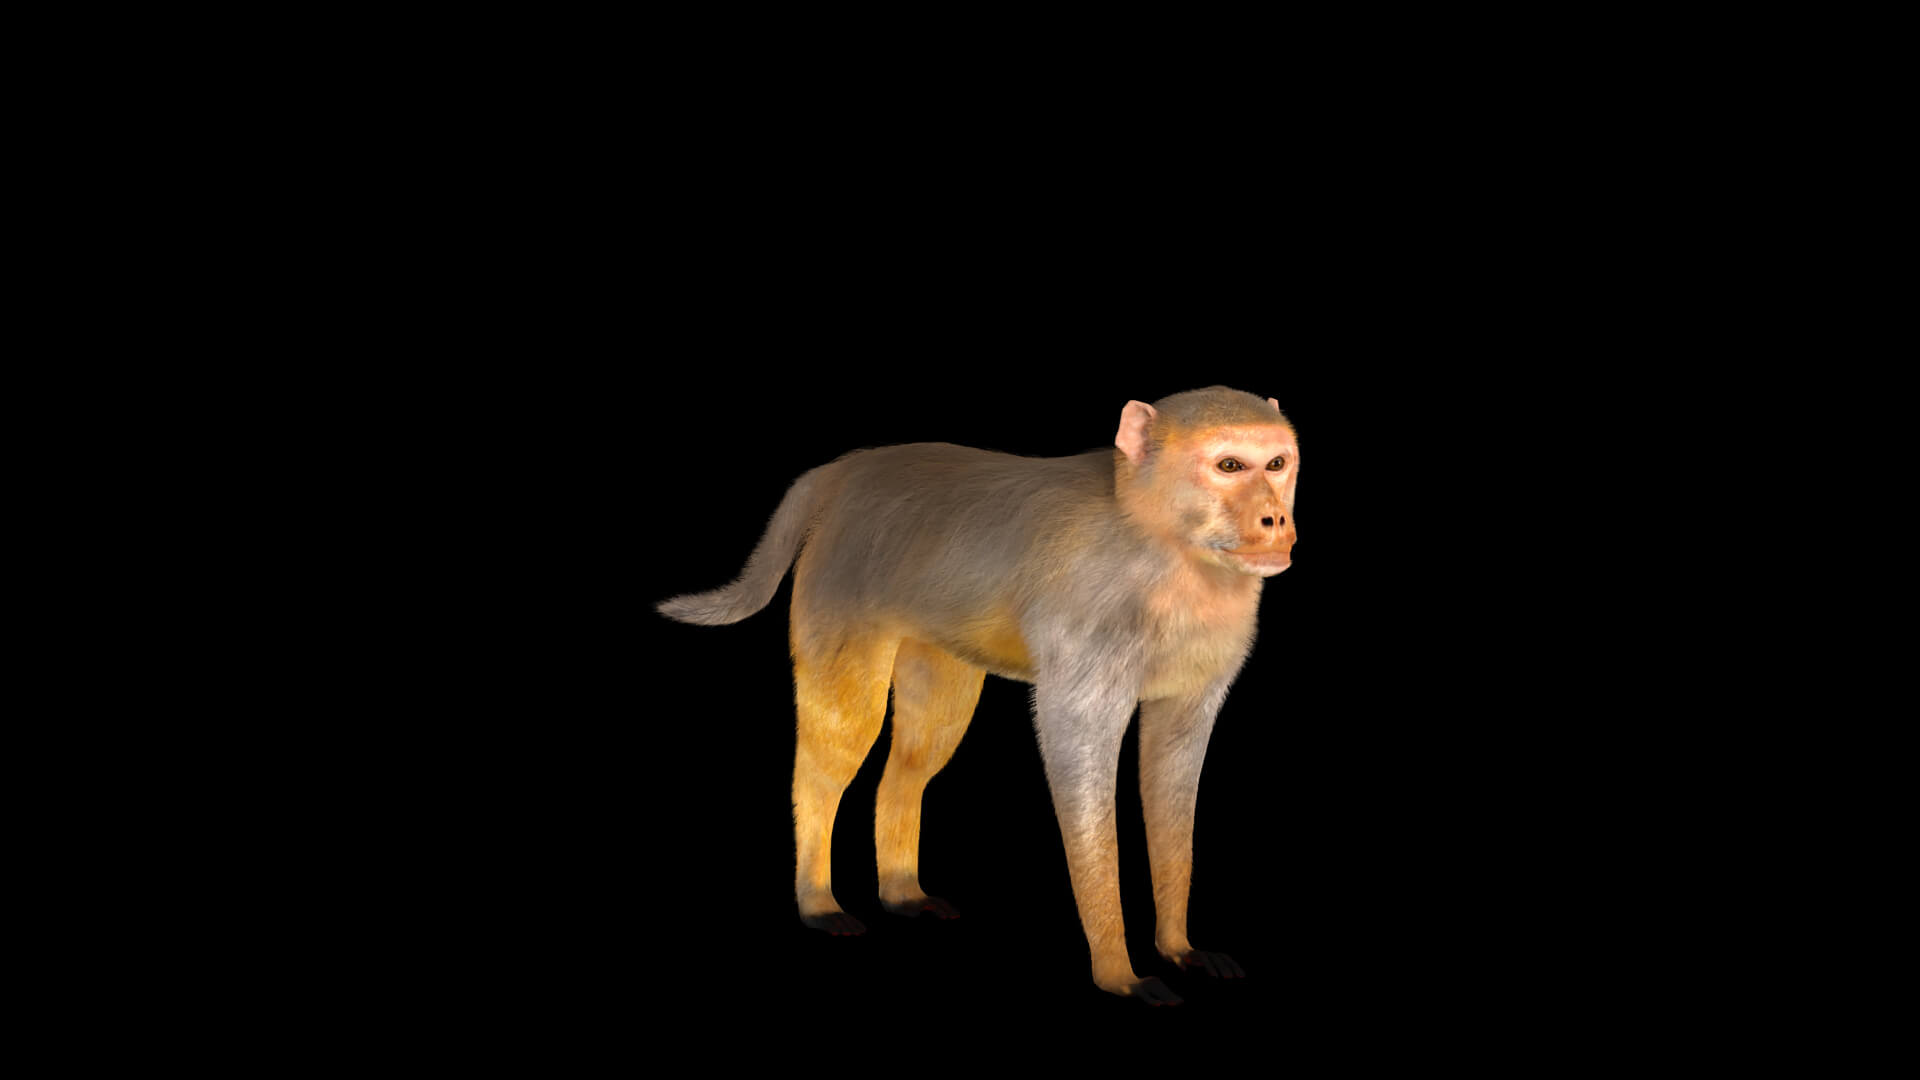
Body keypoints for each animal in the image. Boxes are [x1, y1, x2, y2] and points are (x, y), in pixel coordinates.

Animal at [654, 386, 1298, 1006]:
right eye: (1230, 465)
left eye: (1277, 463)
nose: (1275, 518)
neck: (1164, 545)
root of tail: (844, 470)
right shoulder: (1093, 620)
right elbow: (1076, 748)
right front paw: (1120, 972)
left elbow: (1173, 766)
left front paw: (1178, 948)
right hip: (840, 583)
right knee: (837, 747)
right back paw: (817, 900)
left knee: (917, 753)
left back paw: (901, 891)